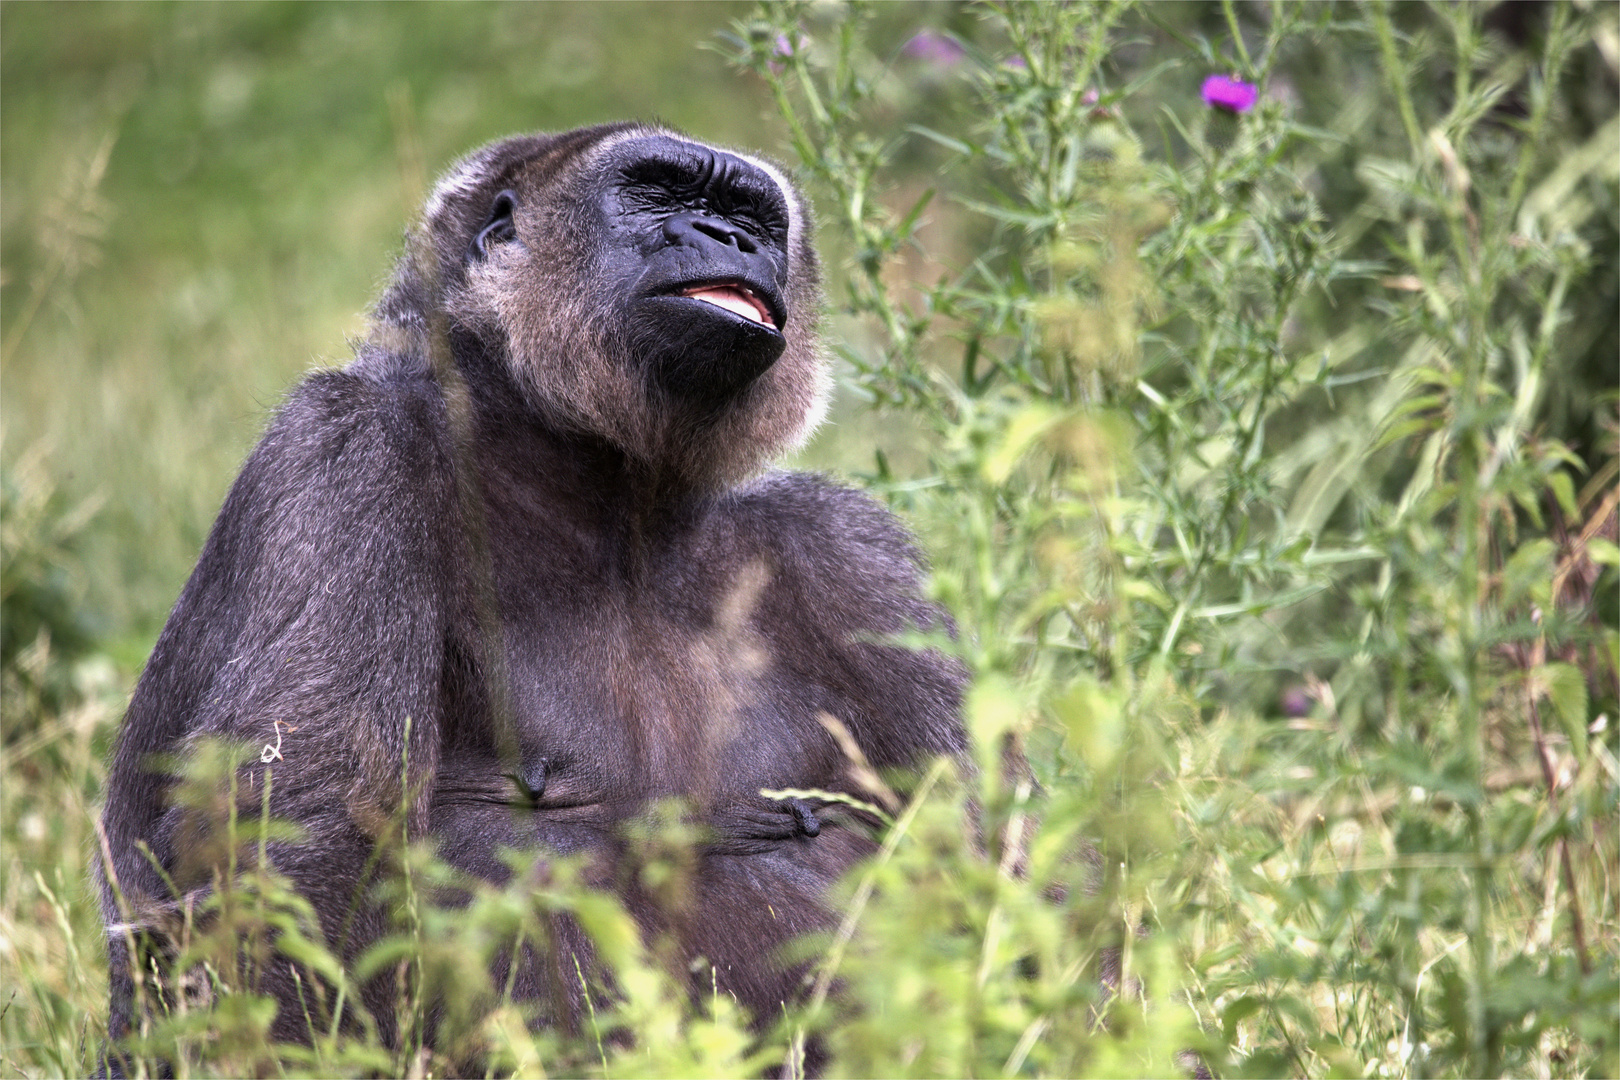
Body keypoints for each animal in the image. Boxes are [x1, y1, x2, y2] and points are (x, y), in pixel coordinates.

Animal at [98, 124, 959, 1062]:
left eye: (752, 216)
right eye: (658, 193)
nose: (732, 239)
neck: (612, 499)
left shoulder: (853, 551)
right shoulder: (341, 446)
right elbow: (297, 830)